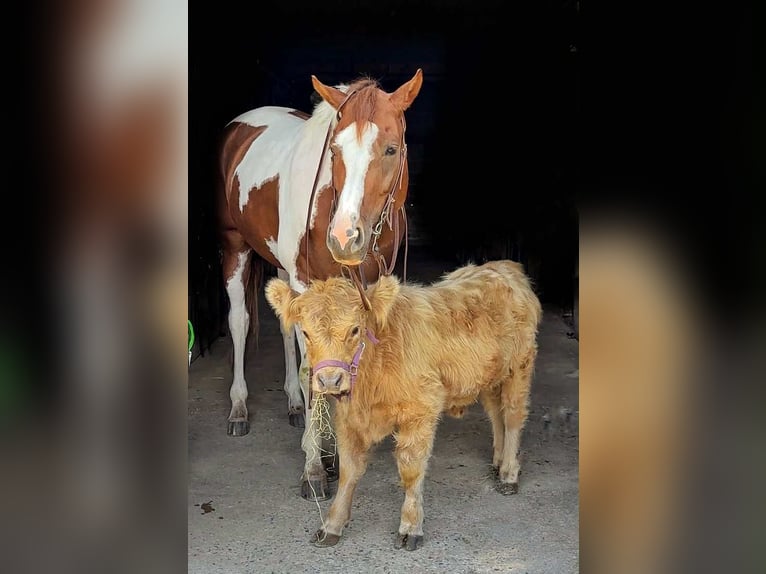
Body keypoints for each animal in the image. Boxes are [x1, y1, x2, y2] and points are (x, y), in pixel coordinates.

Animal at [216, 69, 423, 500]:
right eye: (335, 151)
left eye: (391, 149)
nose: (344, 237)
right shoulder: (305, 283)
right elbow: (314, 366)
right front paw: (314, 467)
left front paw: (336, 453)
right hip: (235, 247)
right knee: (240, 322)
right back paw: (239, 408)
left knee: (284, 327)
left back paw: (295, 405)